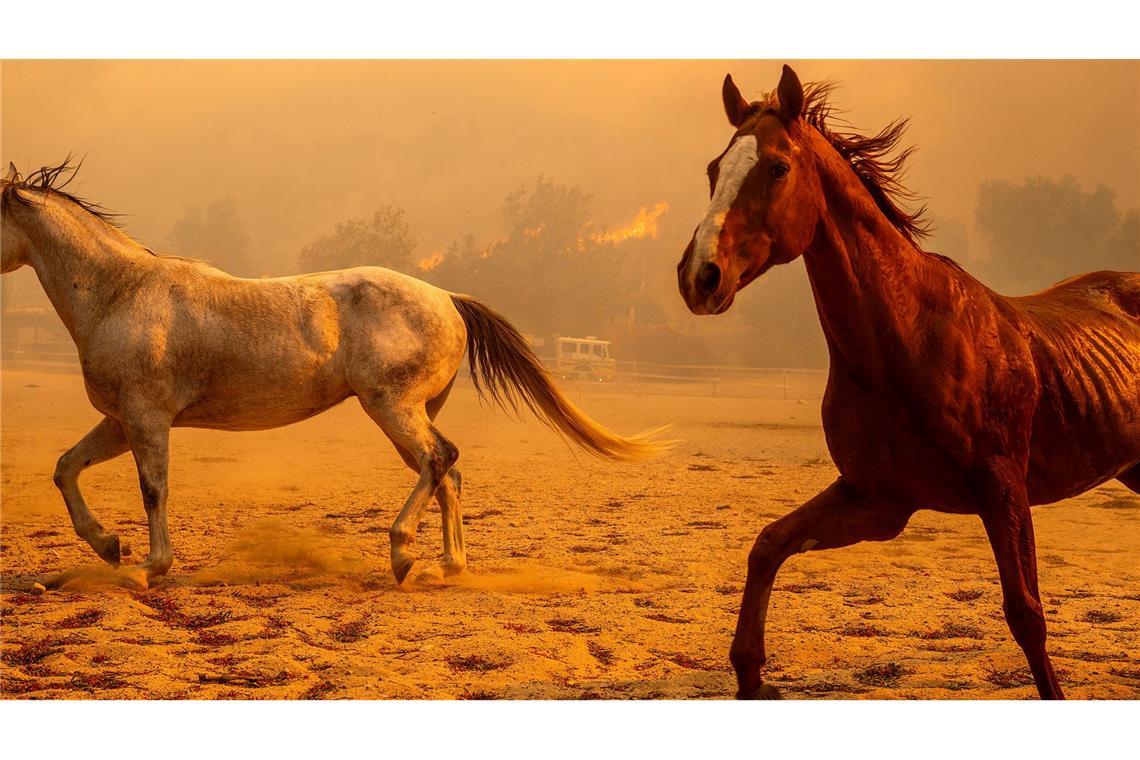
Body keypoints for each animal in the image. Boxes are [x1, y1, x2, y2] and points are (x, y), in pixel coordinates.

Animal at [0, 160, 665, 587]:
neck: (120, 292)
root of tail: (446, 298)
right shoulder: (118, 421)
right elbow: (65, 468)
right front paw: (109, 546)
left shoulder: (146, 420)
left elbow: (154, 489)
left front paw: (147, 568)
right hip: (408, 414)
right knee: (445, 472)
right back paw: (446, 567)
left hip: (391, 407)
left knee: (440, 460)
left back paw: (402, 554)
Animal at [679, 65, 1135, 701]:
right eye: (713, 170)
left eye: (776, 167)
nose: (699, 277)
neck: (909, 338)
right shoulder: (878, 501)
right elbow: (768, 544)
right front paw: (750, 675)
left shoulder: (1002, 489)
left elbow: (1026, 614)